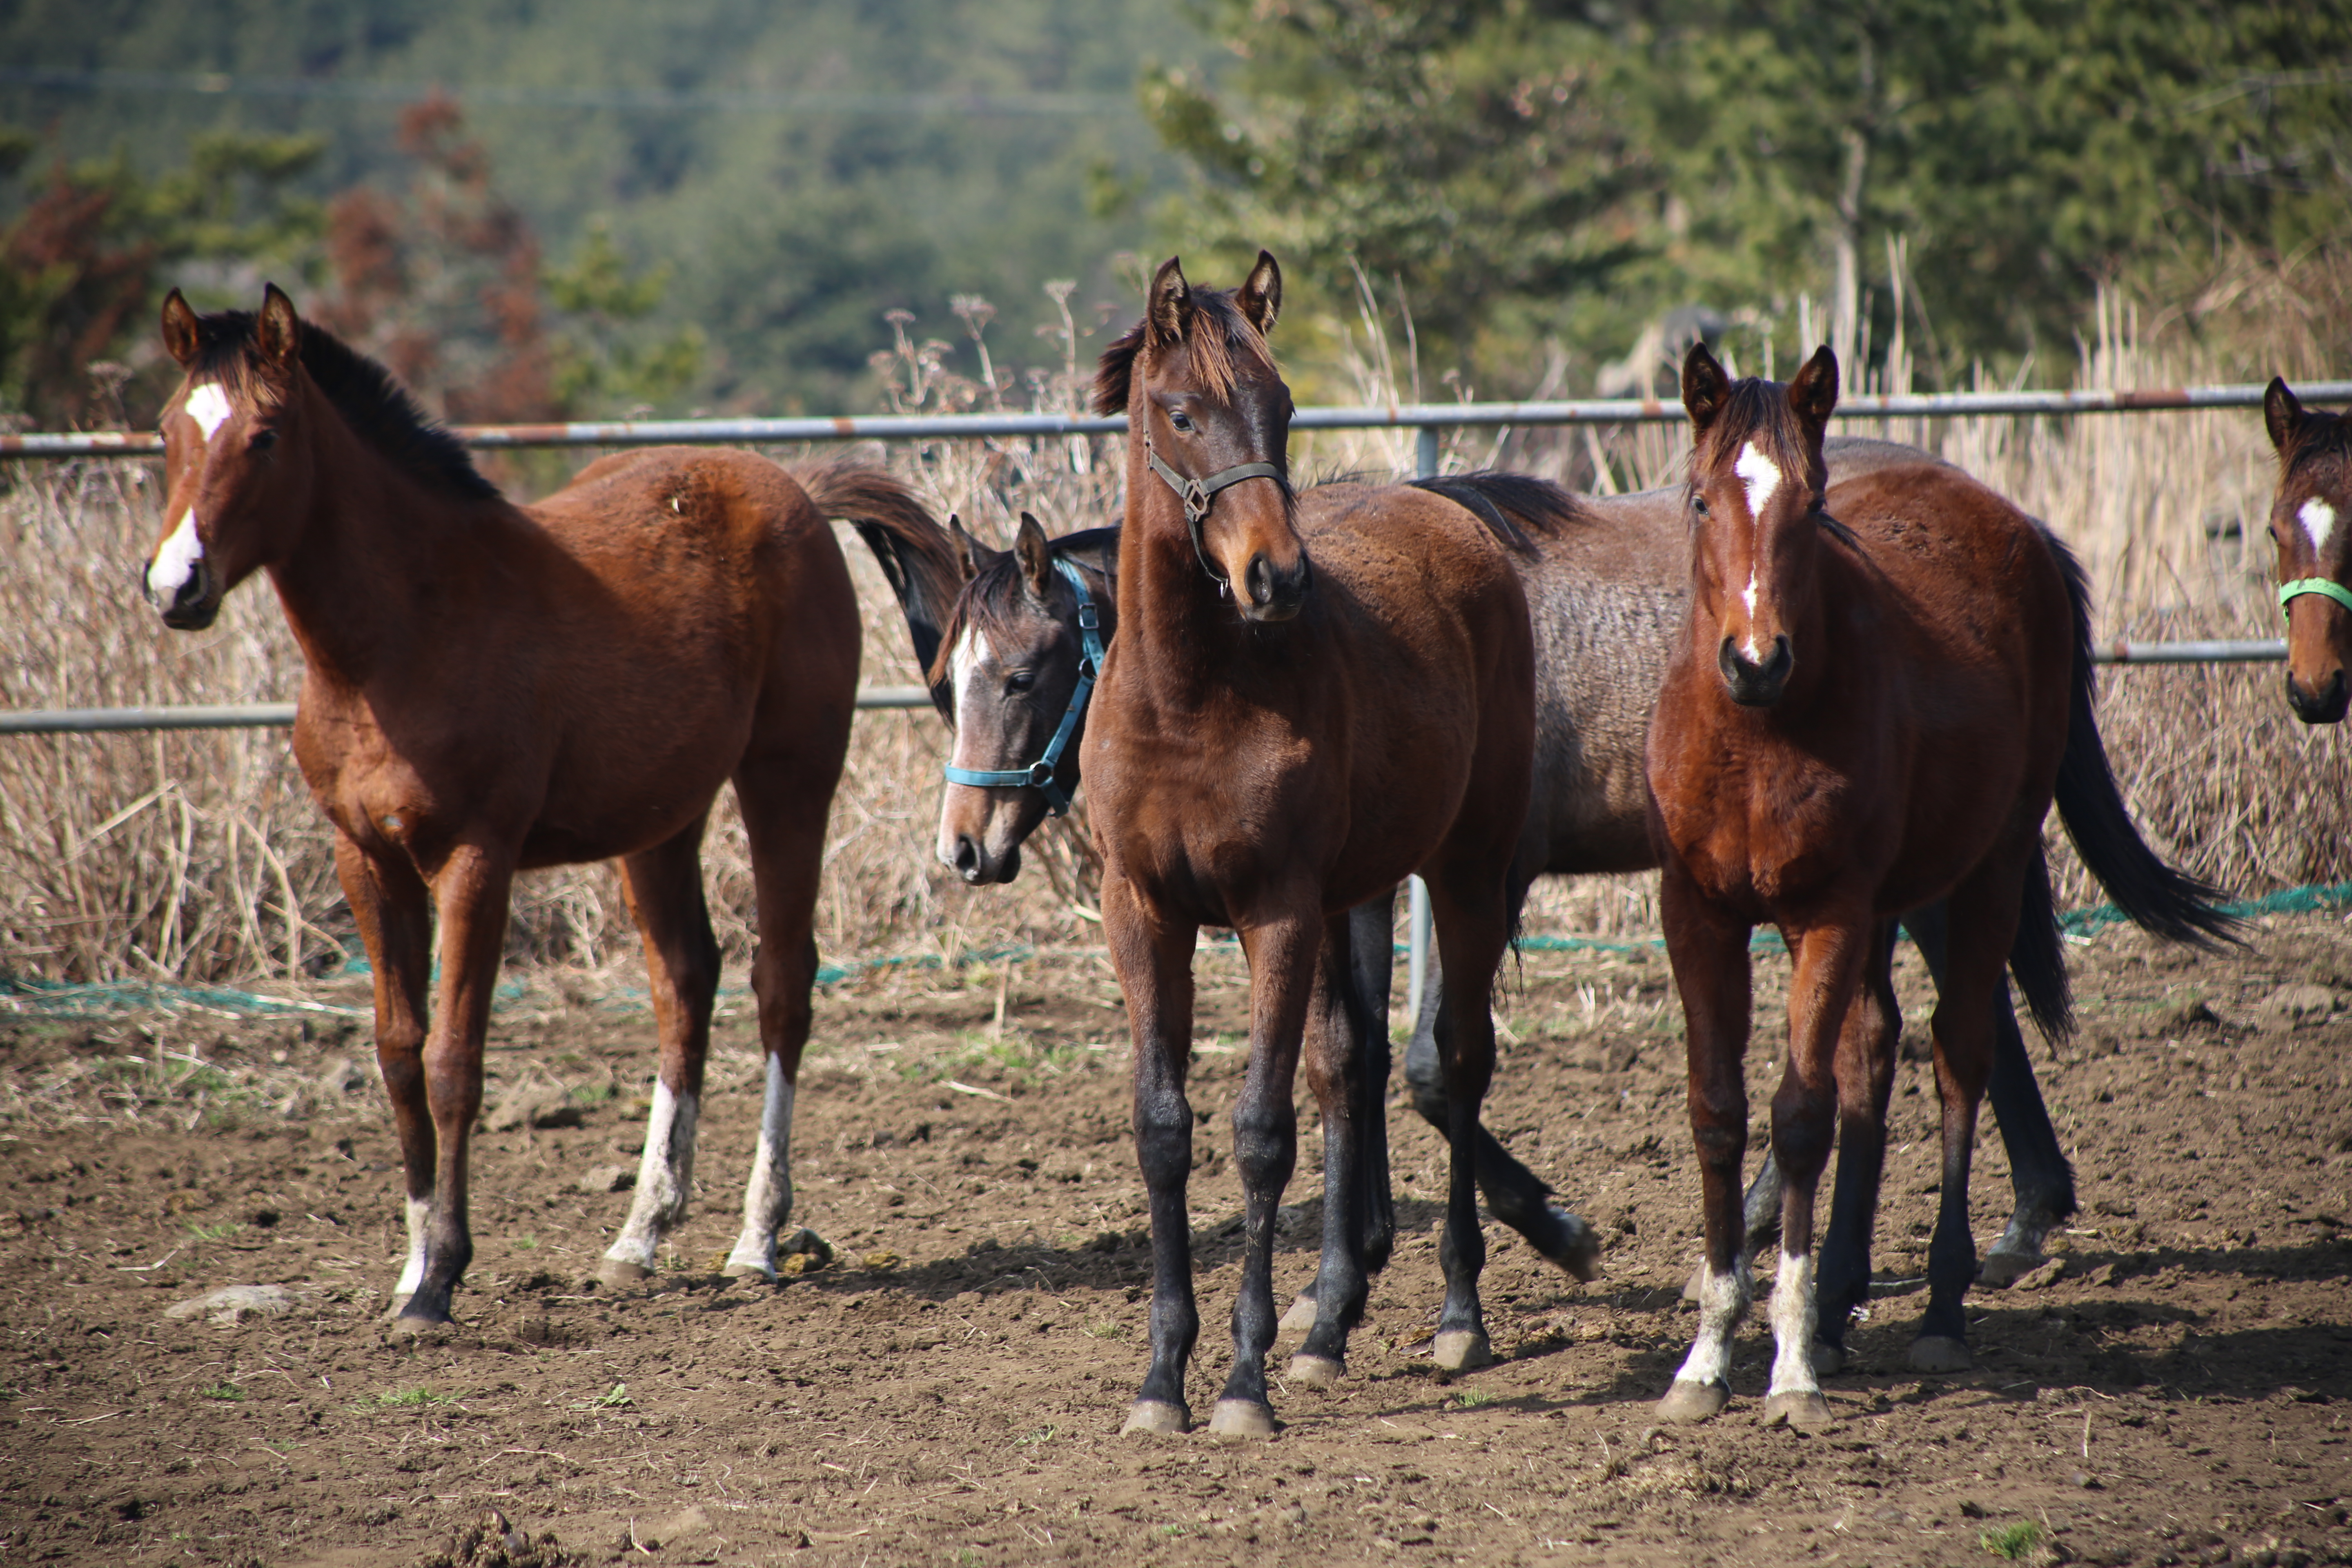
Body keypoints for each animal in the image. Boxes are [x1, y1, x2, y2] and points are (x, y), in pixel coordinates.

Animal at [142, 288, 964, 1335]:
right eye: (167, 431)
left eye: (266, 435)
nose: (175, 586)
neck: (401, 637)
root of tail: (798, 493)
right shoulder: (364, 859)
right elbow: (398, 1054)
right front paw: (411, 1267)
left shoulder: (474, 859)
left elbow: (454, 1058)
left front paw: (441, 1278)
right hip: (662, 820)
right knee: (684, 980)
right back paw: (639, 1236)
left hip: (789, 778)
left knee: (782, 981)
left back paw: (756, 1240)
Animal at [1087, 255, 1543, 1439]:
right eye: (1180, 412)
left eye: (1283, 406)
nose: (1275, 578)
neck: (1188, 698)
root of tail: (1450, 511)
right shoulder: (1141, 912)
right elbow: (1162, 1129)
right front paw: (1160, 1381)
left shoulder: (1274, 912)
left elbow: (1259, 1133)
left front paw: (1239, 1384)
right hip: (1355, 896)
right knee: (1353, 1064)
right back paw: (1330, 1325)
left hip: (1464, 873)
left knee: (1458, 1060)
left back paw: (1458, 1315)